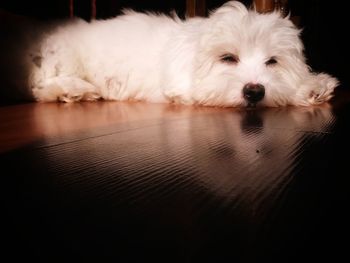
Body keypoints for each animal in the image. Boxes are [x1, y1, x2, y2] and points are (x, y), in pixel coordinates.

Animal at [29, 0, 340, 107]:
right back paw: (75, 90)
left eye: (272, 61)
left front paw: (312, 87)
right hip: (65, 58)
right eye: (228, 58)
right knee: (42, 87)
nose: (254, 91)